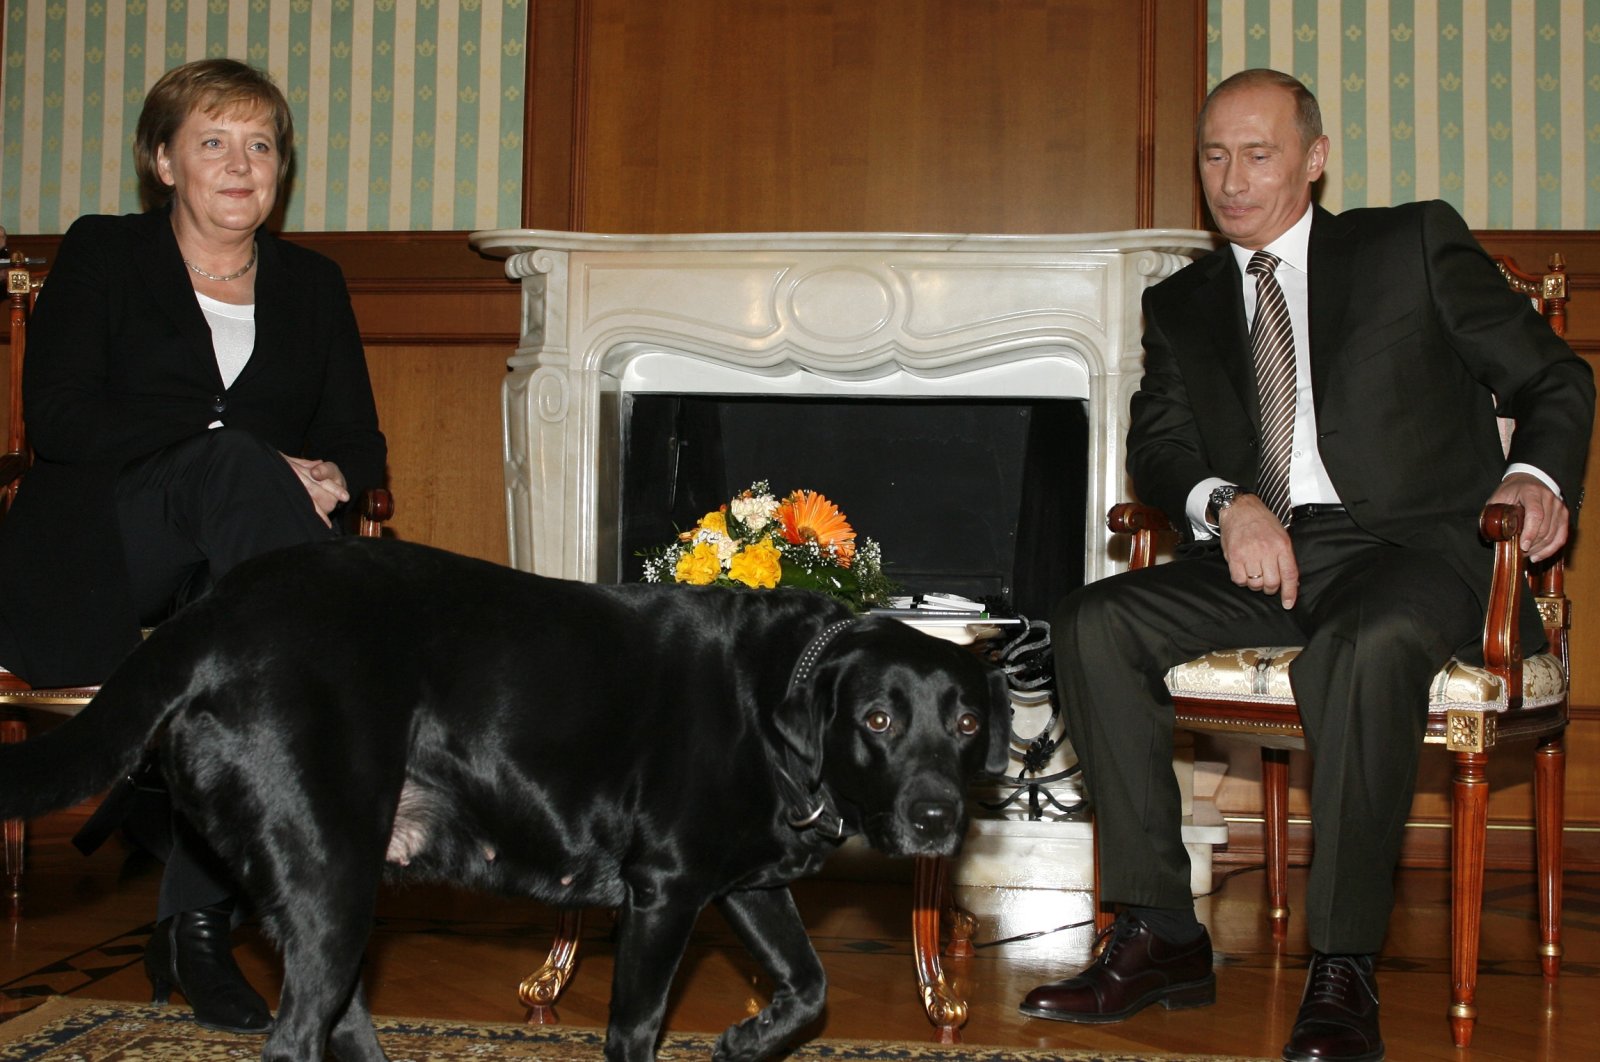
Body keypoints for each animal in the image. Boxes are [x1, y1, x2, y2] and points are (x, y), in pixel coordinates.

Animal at [0, 540, 1004, 1062]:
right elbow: (636, 1026)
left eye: (965, 723)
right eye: (878, 717)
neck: (775, 696)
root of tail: (209, 614)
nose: (936, 819)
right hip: (331, 886)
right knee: (296, 1037)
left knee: (341, 1023)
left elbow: (811, 989)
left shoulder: (746, 887)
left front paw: (745, 1040)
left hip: (333, 896)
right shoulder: (667, 891)